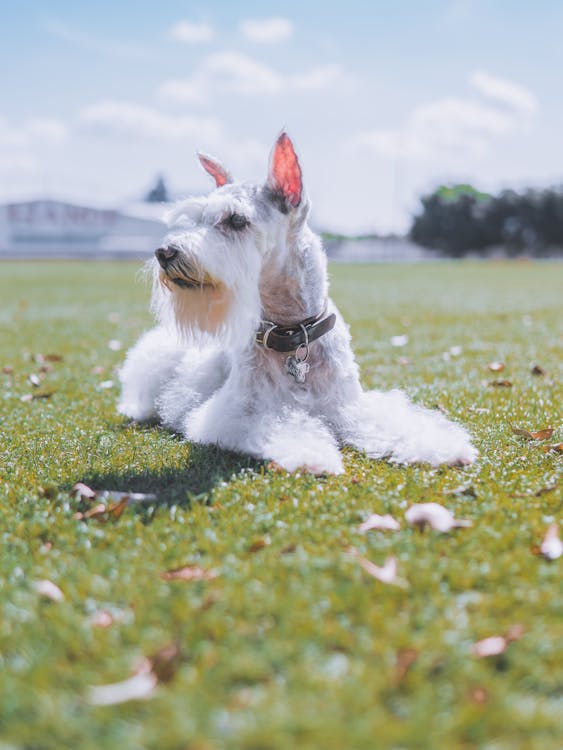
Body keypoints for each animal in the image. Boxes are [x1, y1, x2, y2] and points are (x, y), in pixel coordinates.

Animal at [118, 134, 476, 476]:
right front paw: (311, 455)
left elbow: (392, 422)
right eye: (196, 218)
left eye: (236, 220)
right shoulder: (239, 412)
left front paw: (441, 447)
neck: (292, 331)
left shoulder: (349, 405)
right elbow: (282, 424)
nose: (164, 253)